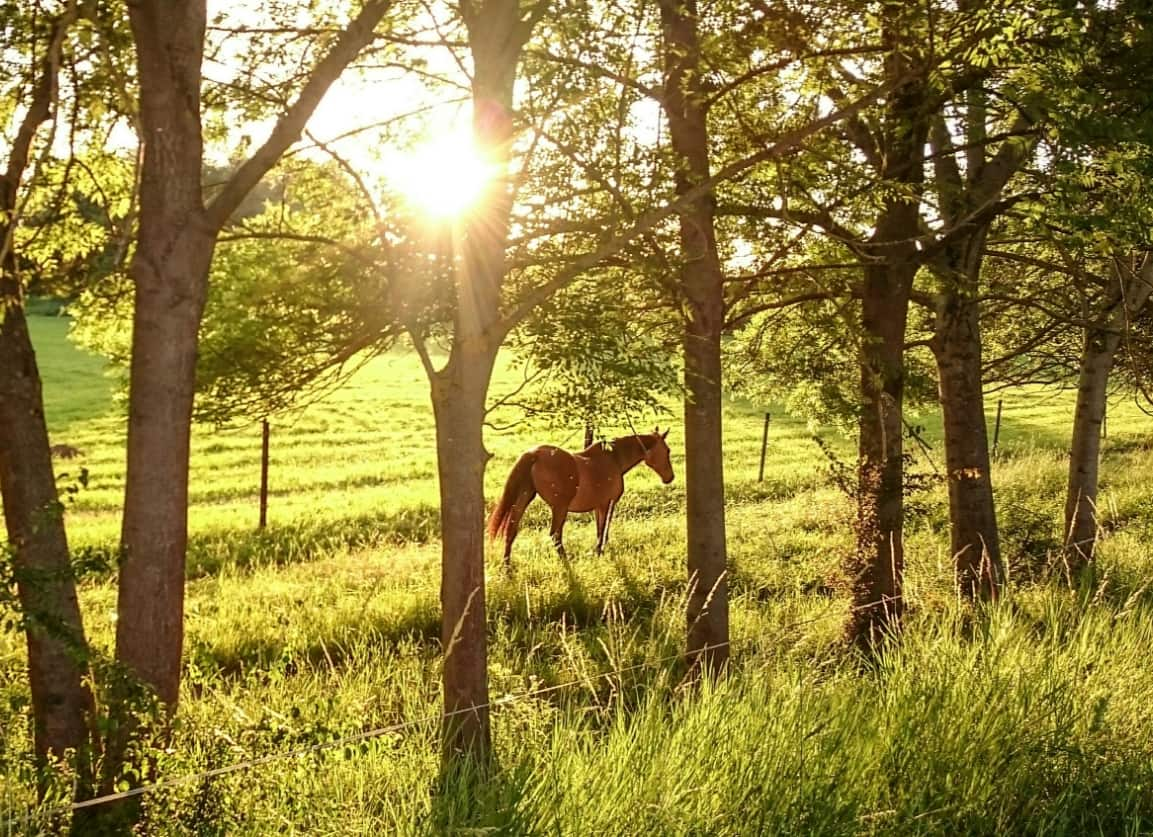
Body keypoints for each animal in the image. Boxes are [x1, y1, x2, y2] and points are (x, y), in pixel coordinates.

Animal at [486, 428, 673, 567]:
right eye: (667, 451)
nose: (670, 477)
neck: (613, 459)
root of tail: (534, 454)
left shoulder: (599, 506)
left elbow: (599, 530)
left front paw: (598, 553)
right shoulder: (608, 504)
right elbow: (603, 531)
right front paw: (599, 553)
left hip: (524, 498)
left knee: (511, 530)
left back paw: (507, 568)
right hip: (559, 508)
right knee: (555, 535)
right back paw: (566, 563)